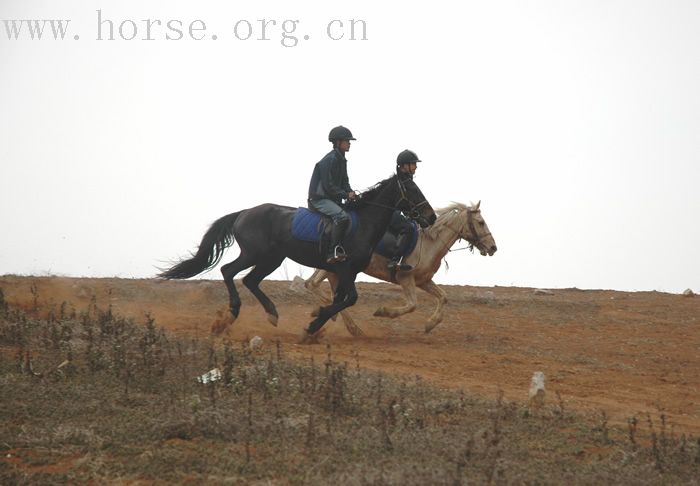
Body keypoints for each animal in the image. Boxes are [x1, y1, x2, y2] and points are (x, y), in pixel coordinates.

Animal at [157, 174, 438, 342]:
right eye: (412, 188)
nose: (431, 217)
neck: (364, 224)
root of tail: (244, 212)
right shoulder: (345, 269)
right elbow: (349, 299)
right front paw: (315, 323)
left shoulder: (348, 272)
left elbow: (340, 300)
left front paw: (316, 323)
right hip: (255, 254)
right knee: (229, 271)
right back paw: (230, 315)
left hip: (271, 259)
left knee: (249, 280)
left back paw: (271, 313)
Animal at [304, 201, 494, 334]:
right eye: (481, 222)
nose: (493, 247)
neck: (428, 244)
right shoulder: (405, 278)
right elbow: (412, 305)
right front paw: (383, 311)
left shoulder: (423, 281)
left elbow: (443, 297)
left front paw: (430, 324)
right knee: (313, 285)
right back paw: (346, 324)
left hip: (333, 269)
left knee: (314, 285)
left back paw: (328, 314)